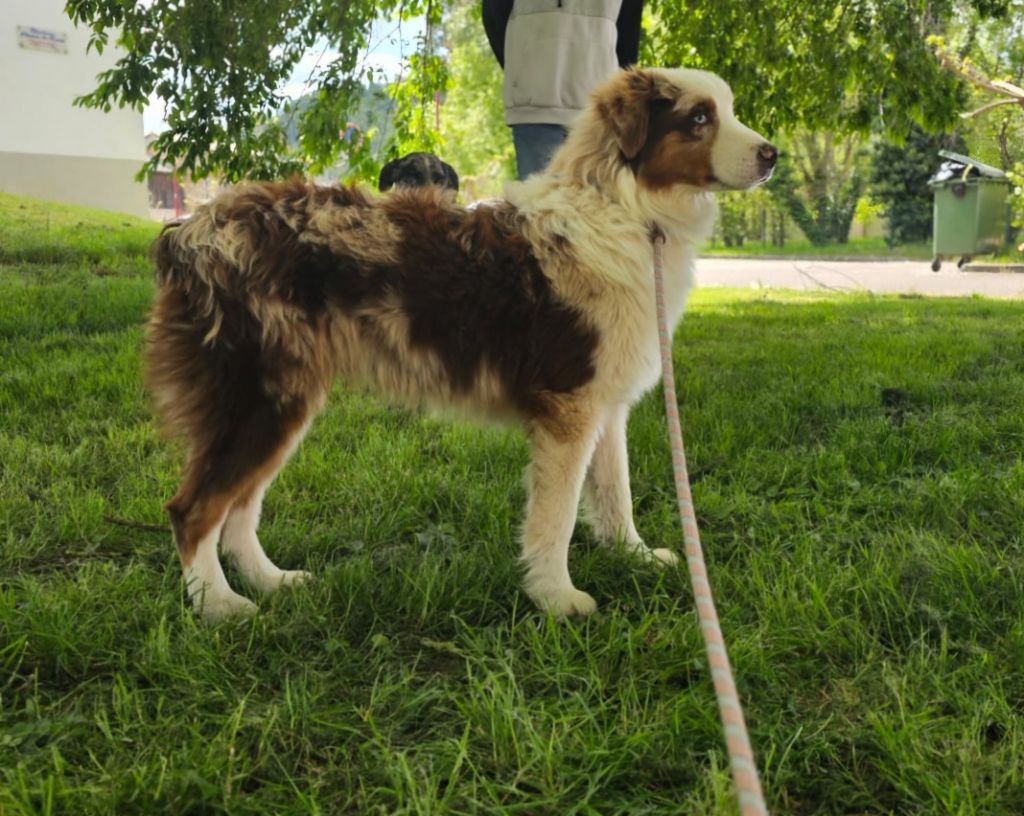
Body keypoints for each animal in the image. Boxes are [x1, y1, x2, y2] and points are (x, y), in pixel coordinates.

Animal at [146, 68, 774, 618]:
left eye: (728, 109)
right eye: (699, 117)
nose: (772, 154)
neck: (625, 210)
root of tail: (192, 229)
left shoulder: (606, 405)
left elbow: (614, 493)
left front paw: (634, 556)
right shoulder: (568, 408)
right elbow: (558, 515)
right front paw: (555, 597)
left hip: (281, 403)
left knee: (239, 509)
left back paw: (269, 582)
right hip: (260, 399)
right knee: (193, 510)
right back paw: (220, 607)